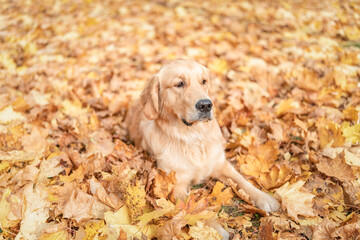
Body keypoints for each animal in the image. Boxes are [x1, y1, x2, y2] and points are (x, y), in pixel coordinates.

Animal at [125, 59, 280, 213]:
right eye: (179, 84)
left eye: (203, 81)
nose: (205, 105)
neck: (194, 136)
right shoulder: (176, 184)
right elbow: (190, 209)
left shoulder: (221, 164)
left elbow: (242, 180)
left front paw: (264, 197)